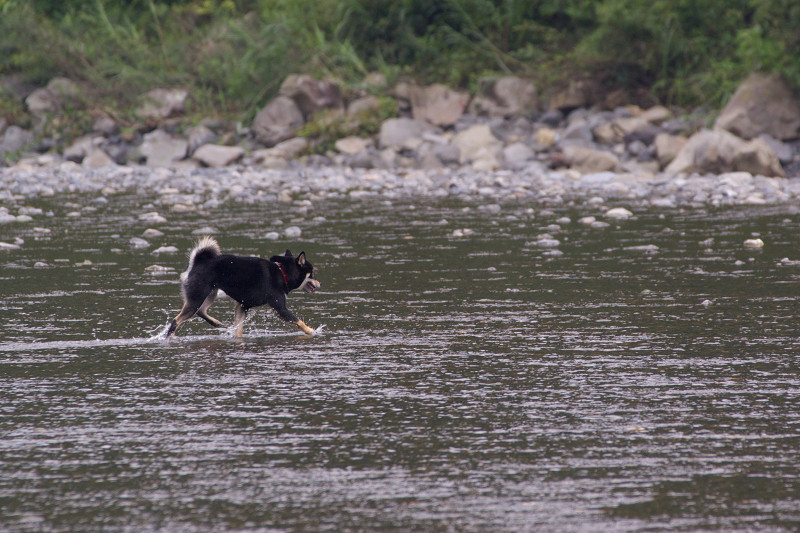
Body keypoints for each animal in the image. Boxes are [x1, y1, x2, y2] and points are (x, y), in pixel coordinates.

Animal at [165, 236, 318, 336]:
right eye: (312, 274)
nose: (319, 283)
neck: (282, 272)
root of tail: (197, 262)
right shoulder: (279, 308)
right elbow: (298, 321)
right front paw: (312, 331)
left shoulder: (242, 306)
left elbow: (238, 330)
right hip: (197, 297)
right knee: (176, 321)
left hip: (210, 294)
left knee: (201, 311)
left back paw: (216, 323)